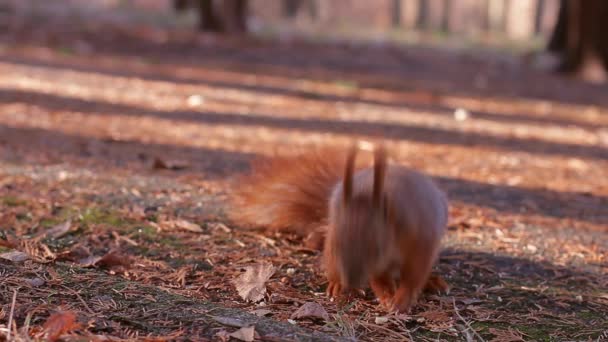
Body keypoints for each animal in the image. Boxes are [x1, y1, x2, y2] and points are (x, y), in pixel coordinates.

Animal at [230, 142, 448, 312]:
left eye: (377, 248)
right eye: (338, 246)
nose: (351, 283)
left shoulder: (421, 239)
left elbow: (414, 275)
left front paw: (402, 299)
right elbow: (379, 277)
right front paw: (386, 294)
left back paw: (432, 281)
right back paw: (336, 284)